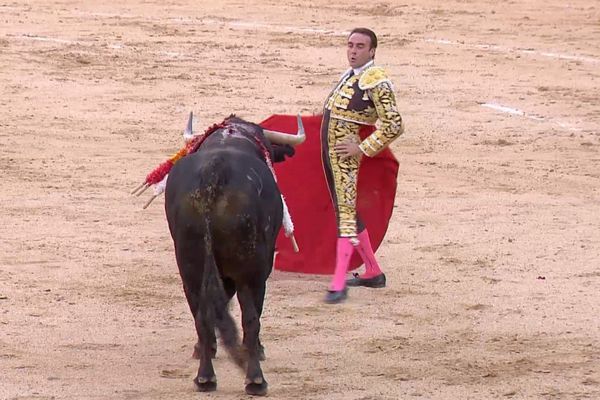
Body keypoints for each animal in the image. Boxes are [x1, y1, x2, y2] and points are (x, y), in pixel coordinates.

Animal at [164, 112, 304, 394]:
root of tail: (214, 174)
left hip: (190, 267)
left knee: (202, 315)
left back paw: (205, 376)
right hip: (251, 272)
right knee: (250, 319)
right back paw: (255, 379)